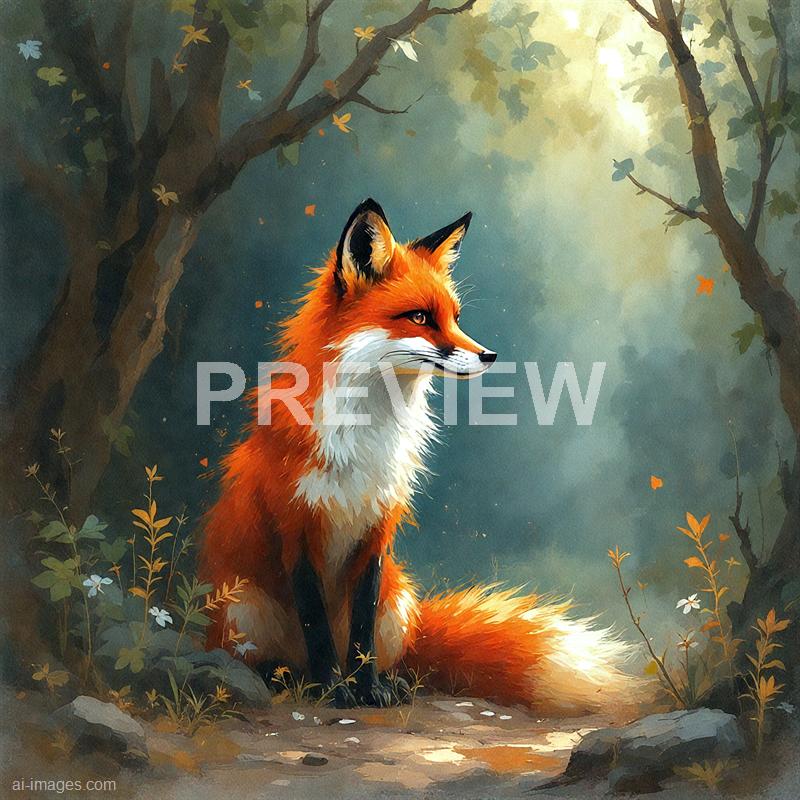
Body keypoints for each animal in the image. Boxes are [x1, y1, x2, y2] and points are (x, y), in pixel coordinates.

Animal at [199, 199, 631, 712]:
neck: (366, 435)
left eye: (455, 316)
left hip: (398, 599)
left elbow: (361, 631)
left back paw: (385, 680)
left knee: (395, 654)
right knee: (267, 658)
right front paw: (335, 691)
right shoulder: (296, 529)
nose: (489, 355)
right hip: (244, 606)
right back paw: (287, 678)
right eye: (421, 318)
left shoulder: (376, 530)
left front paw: (367, 688)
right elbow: (317, 627)